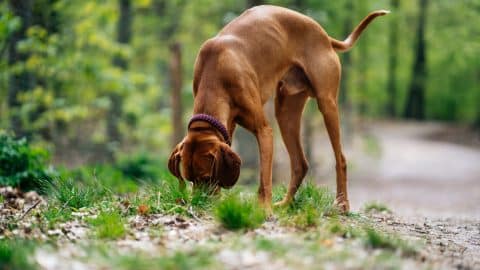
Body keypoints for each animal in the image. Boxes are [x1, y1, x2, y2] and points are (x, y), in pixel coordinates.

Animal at [167, 5, 388, 214]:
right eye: (190, 179)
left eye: (206, 177)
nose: (200, 203)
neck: (215, 75)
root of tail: (325, 36)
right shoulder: (226, 129)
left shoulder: (264, 131)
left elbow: (264, 179)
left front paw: (264, 209)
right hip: (285, 111)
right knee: (300, 164)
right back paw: (286, 203)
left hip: (327, 104)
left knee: (340, 158)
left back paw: (342, 204)